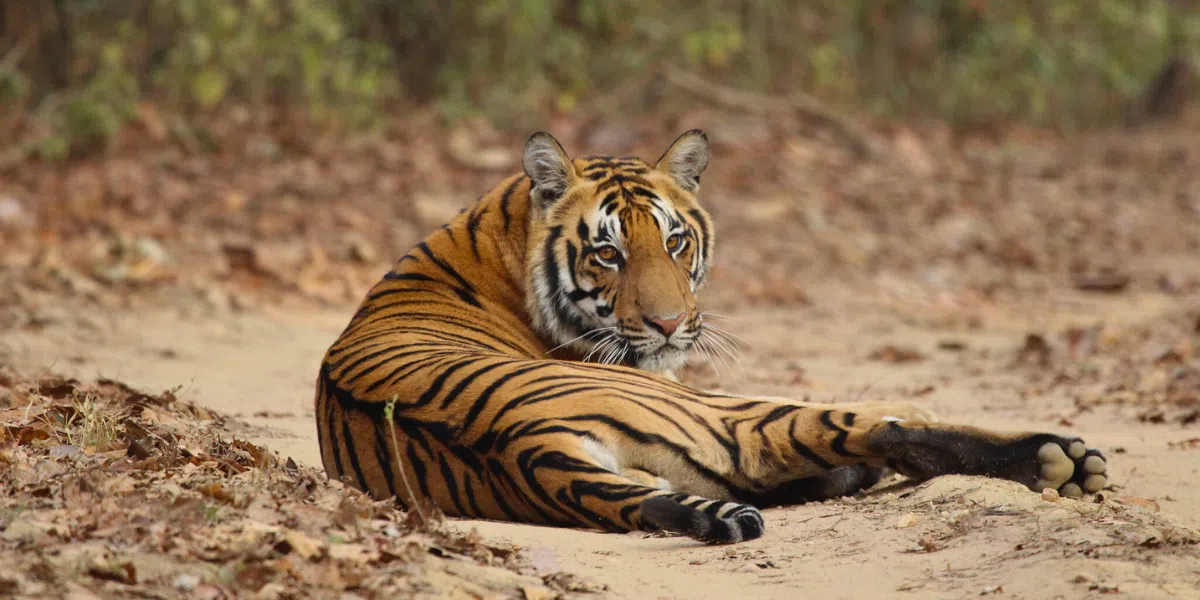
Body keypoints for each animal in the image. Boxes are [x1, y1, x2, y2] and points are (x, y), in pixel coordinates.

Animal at [314, 131, 1108, 544]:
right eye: (608, 254)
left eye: (674, 240)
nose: (669, 324)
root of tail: (525, 446)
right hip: (724, 414)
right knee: (874, 429)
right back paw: (1060, 459)